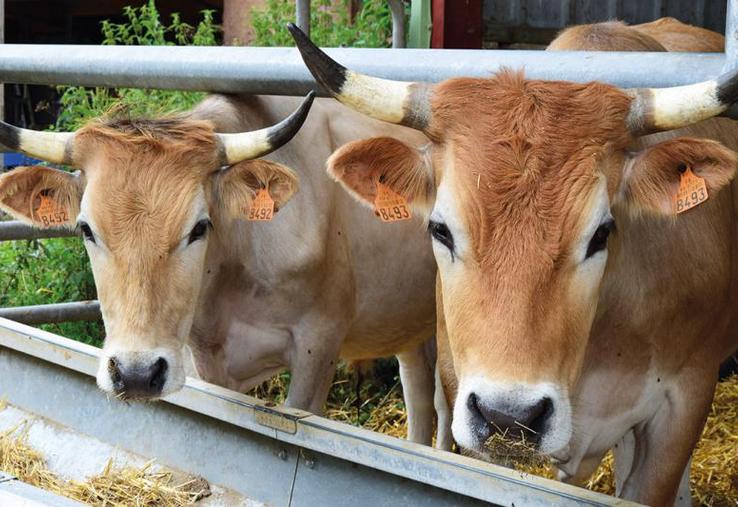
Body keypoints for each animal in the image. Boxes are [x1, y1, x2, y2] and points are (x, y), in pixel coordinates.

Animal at [0, 91, 439, 445]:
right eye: (86, 228)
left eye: (199, 227)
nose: (136, 374)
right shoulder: (202, 360)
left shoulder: (319, 344)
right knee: (418, 391)